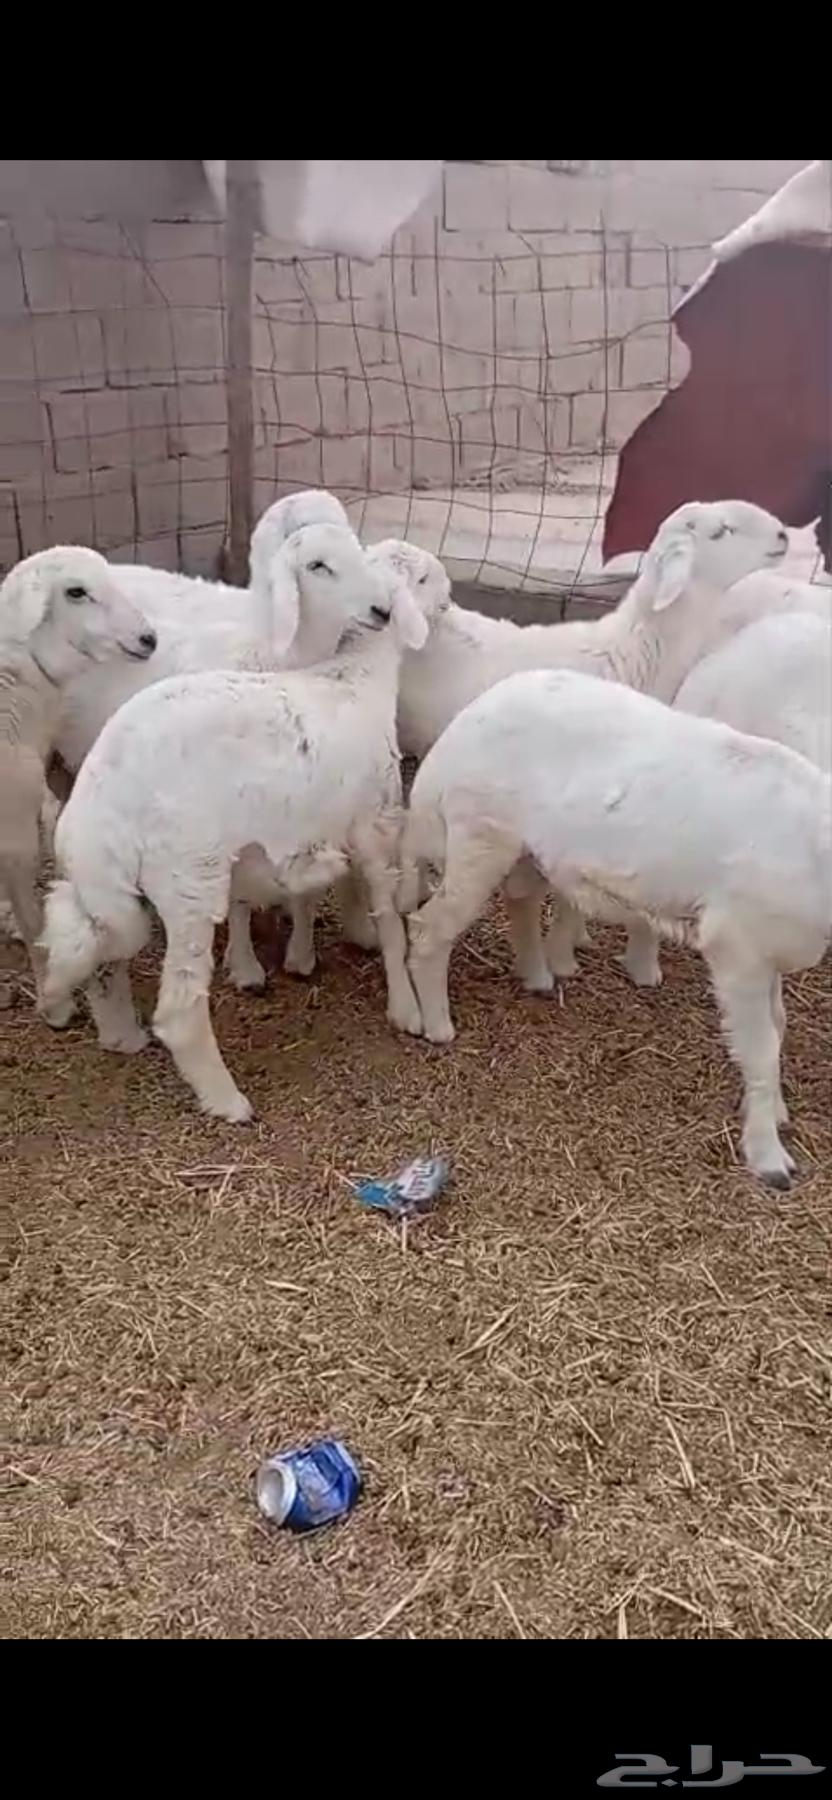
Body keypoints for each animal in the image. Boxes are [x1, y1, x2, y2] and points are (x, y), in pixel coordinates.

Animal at [40, 555, 428, 1122]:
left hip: (104, 880)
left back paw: (102, 1023)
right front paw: (405, 1007)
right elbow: (390, 920)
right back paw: (226, 1099)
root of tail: (103, 801)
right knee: (178, 1008)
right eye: (420, 578)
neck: (357, 678)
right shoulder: (375, 824)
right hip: (189, 879)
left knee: (89, 942)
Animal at [401, 668, 831, 1188]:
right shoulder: (738, 945)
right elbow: (762, 1047)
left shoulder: (769, 950)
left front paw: (778, 1114)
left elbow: (779, 1025)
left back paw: (537, 977)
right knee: (429, 928)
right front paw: (770, 1160)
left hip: (521, 846)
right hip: (478, 833)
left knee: (520, 898)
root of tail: (457, 730)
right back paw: (438, 1025)